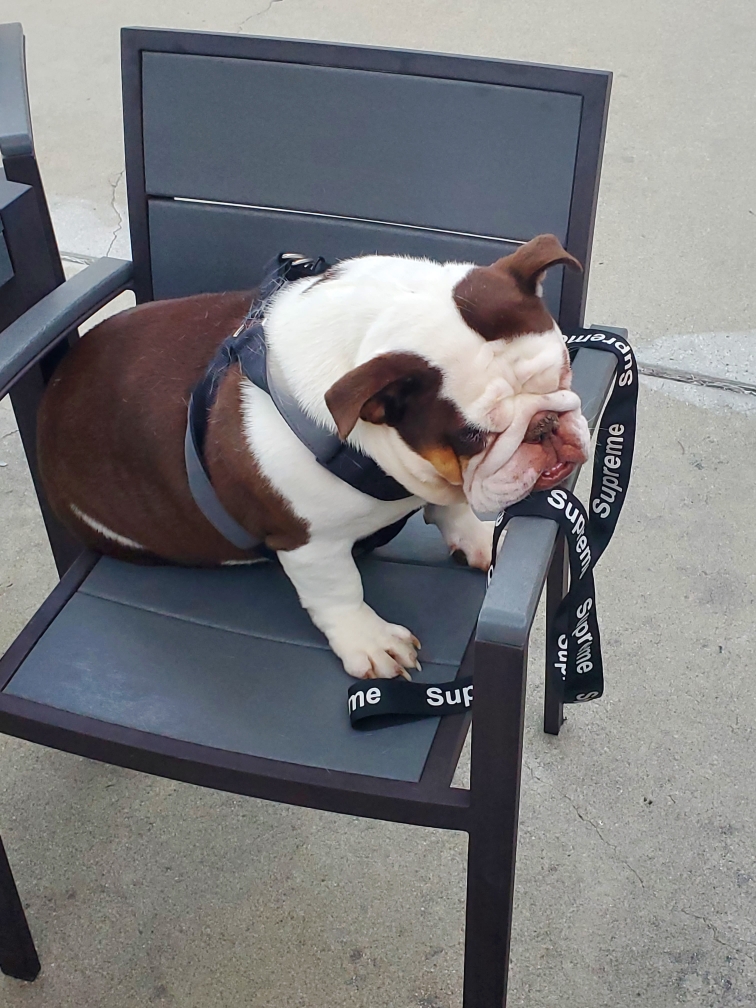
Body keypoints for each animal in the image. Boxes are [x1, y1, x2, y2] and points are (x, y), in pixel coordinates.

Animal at [38, 234, 590, 680]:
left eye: (564, 370)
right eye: (472, 436)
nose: (545, 426)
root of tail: (54, 393)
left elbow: (451, 507)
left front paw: (478, 536)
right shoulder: (309, 543)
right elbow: (339, 590)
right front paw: (371, 641)